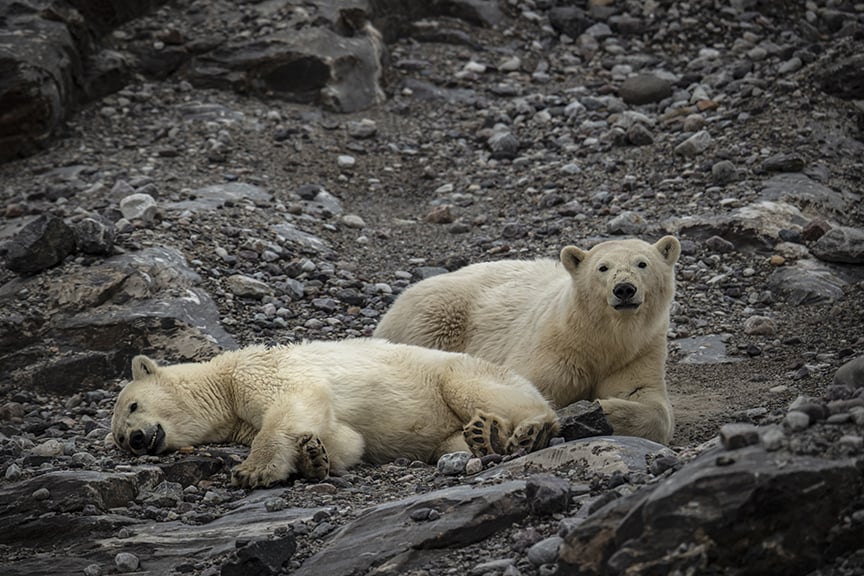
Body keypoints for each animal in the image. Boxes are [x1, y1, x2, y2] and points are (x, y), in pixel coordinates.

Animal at [109, 338, 560, 486]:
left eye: (134, 404)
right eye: (119, 438)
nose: (136, 439)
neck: (222, 384)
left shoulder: (256, 373)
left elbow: (294, 402)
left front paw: (253, 471)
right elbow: (346, 438)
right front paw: (314, 457)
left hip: (453, 372)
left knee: (474, 388)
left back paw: (526, 430)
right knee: (449, 440)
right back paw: (484, 436)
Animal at [374, 236, 684, 444]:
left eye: (642, 263)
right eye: (603, 268)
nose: (624, 289)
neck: (600, 339)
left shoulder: (639, 350)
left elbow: (646, 400)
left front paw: (601, 408)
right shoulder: (556, 348)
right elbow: (525, 385)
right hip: (434, 317)